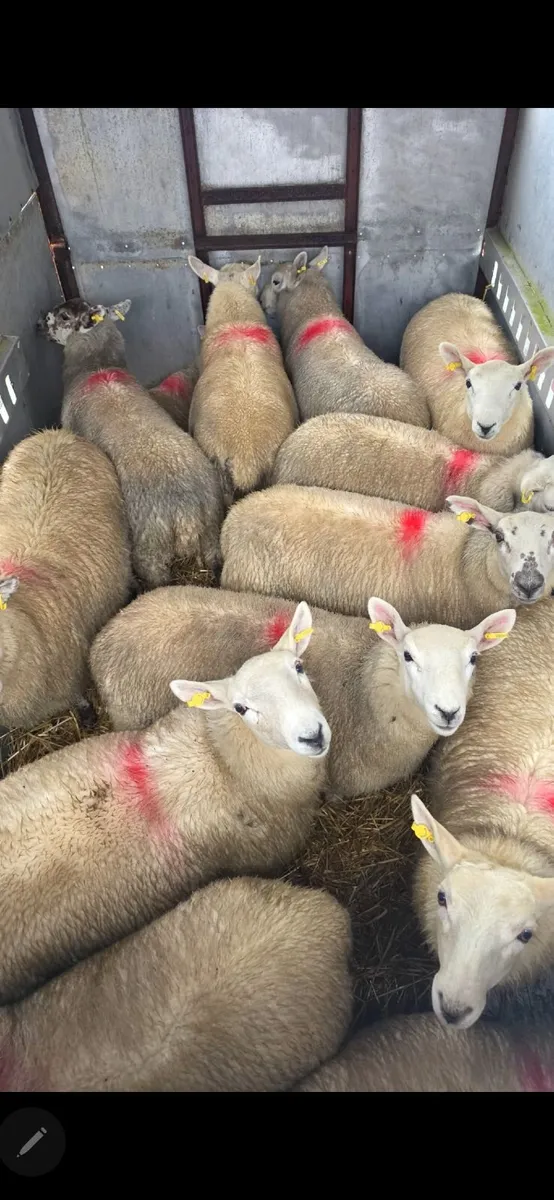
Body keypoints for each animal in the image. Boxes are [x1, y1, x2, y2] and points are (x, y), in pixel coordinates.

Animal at [38, 297, 224, 588]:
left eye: (64, 316)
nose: (38, 323)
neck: (96, 366)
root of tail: (186, 512)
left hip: (151, 550)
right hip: (212, 535)